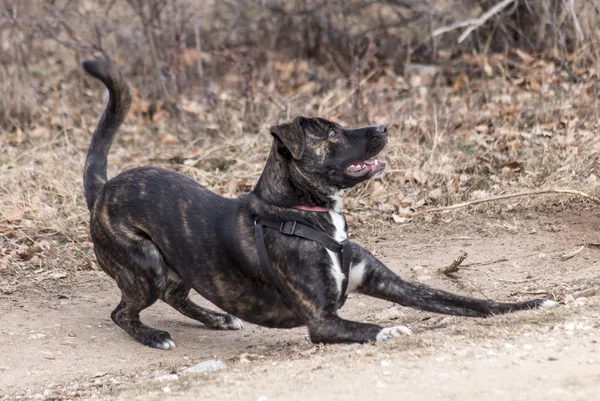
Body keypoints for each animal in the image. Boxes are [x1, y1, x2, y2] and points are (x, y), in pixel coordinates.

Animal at [81, 58, 556, 346]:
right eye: (331, 134)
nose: (383, 127)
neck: (306, 215)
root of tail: (103, 190)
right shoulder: (322, 321)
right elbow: (367, 326)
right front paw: (391, 330)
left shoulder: (390, 282)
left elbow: (468, 301)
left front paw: (529, 304)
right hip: (145, 265)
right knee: (123, 313)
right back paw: (153, 335)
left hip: (178, 266)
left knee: (177, 294)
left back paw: (217, 318)